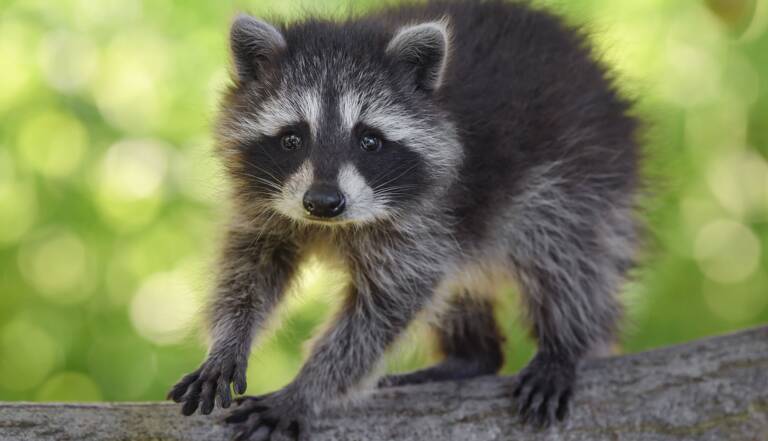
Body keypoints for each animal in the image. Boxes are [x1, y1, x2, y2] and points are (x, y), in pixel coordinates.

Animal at [168, 0, 640, 436]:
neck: (332, 226)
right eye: (292, 138)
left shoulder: (425, 218)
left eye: (369, 141)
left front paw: (308, 388)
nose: (323, 202)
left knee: (564, 253)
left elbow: (385, 308)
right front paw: (228, 341)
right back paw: (471, 356)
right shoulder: (265, 206)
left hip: (580, 165)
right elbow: (249, 268)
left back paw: (563, 344)